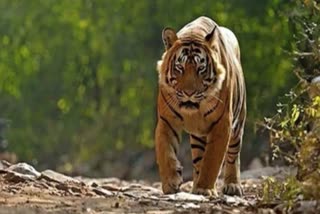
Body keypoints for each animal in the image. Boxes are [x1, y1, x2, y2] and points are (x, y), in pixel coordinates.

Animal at [156, 16, 246, 197]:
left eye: (201, 69)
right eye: (180, 67)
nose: (189, 93)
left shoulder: (222, 124)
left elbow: (212, 160)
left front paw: (205, 188)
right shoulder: (166, 120)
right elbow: (165, 152)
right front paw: (170, 183)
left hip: (238, 124)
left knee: (233, 155)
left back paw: (232, 185)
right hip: (198, 137)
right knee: (198, 160)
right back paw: (194, 187)